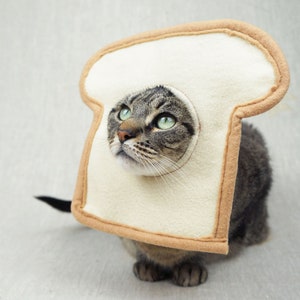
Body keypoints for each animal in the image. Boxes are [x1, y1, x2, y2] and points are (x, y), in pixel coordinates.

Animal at [35, 85, 272, 288]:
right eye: (124, 113)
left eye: (165, 121)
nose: (122, 133)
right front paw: (148, 263)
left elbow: (203, 247)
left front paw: (190, 265)